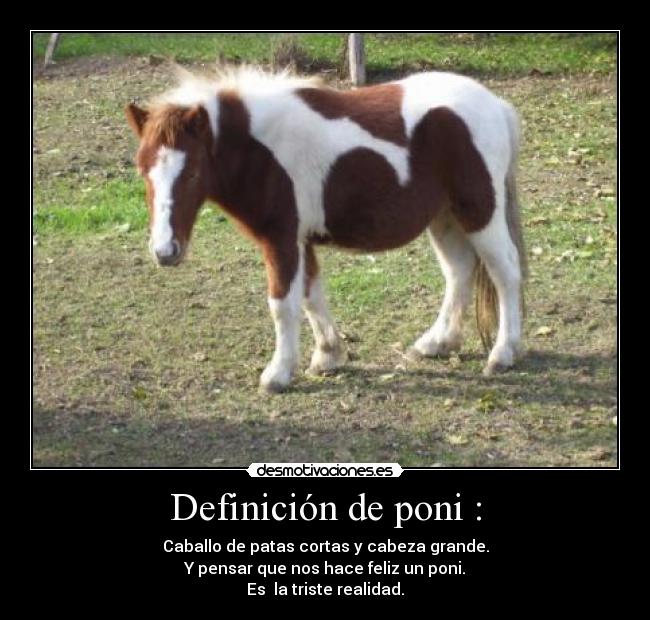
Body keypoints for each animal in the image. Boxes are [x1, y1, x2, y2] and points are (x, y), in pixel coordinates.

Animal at [125, 66, 527, 393]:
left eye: (192, 172)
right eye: (143, 169)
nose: (165, 251)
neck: (260, 149)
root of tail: (496, 105)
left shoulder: (281, 239)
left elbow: (282, 303)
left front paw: (278, 374)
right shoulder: (301, 241)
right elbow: (310, 295)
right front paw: (328, 356)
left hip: (479, 213)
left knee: (505, 271)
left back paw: (502, 353)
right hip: (445, 218)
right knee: (459, 271)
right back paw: (436, 343)